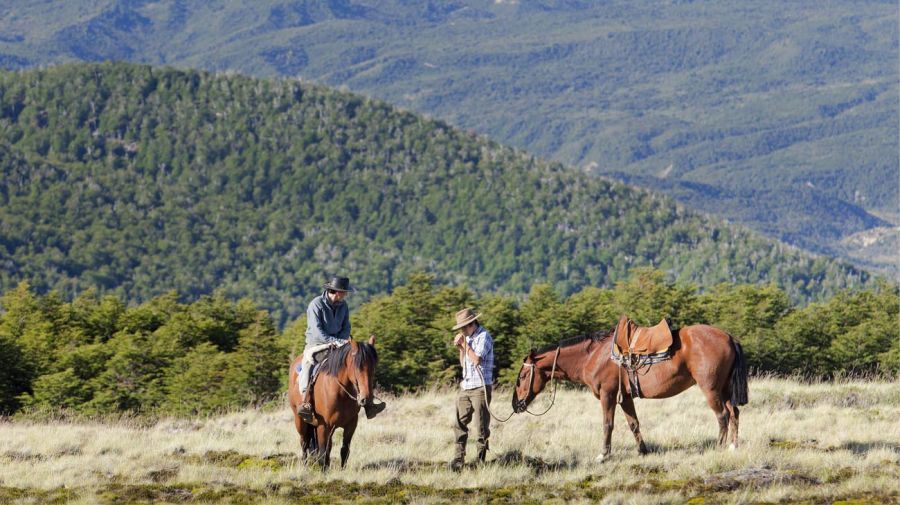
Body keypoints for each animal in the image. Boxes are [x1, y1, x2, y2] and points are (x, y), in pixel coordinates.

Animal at [284, 334, 376, 468]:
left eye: (373, 366)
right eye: (357, 366)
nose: (366, 398)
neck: (341, 393)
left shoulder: (351, 424)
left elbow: (344, 450)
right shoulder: (324, 425)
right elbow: (323, 452)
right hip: (300, 420)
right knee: (304, 443)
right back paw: (305, 466)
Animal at [510, 322, 748, 460]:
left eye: (522, 377)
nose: (516, 405)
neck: (593, 356)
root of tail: (728, 337)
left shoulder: (607, 396)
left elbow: (608, 425)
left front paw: (603, 455)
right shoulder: (624, 398)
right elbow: (634, 424)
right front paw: (643, 451)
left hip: (711, 388)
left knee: (722, 415)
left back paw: (718, 447)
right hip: (724, 389)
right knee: (734, 413)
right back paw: (733, 446)